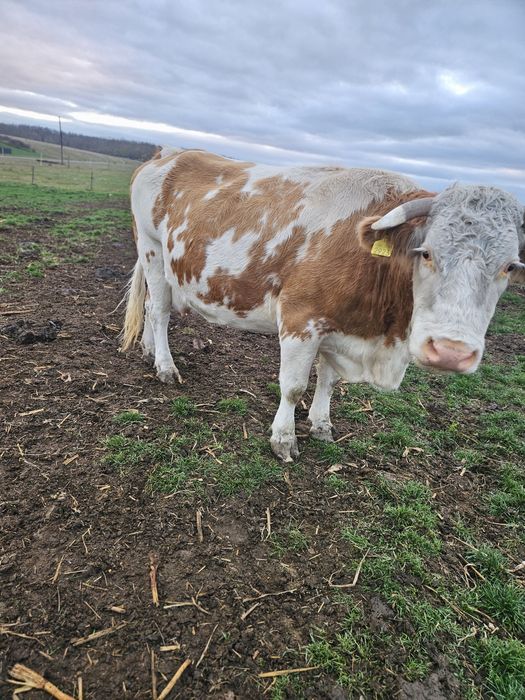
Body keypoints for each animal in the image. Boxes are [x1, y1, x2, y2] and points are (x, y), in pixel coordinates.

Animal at [121, 148, 524, 462]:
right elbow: (294, 386)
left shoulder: (339, 325)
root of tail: (169, 154)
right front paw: (284, 438)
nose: (451, 351)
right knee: (159, 311)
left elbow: (329, 381)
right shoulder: (300, 319)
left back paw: (149, 351)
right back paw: (165, 366)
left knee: (151, 308)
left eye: (510, 267)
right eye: (426, 253)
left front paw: (321, 425)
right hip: (152, 249)